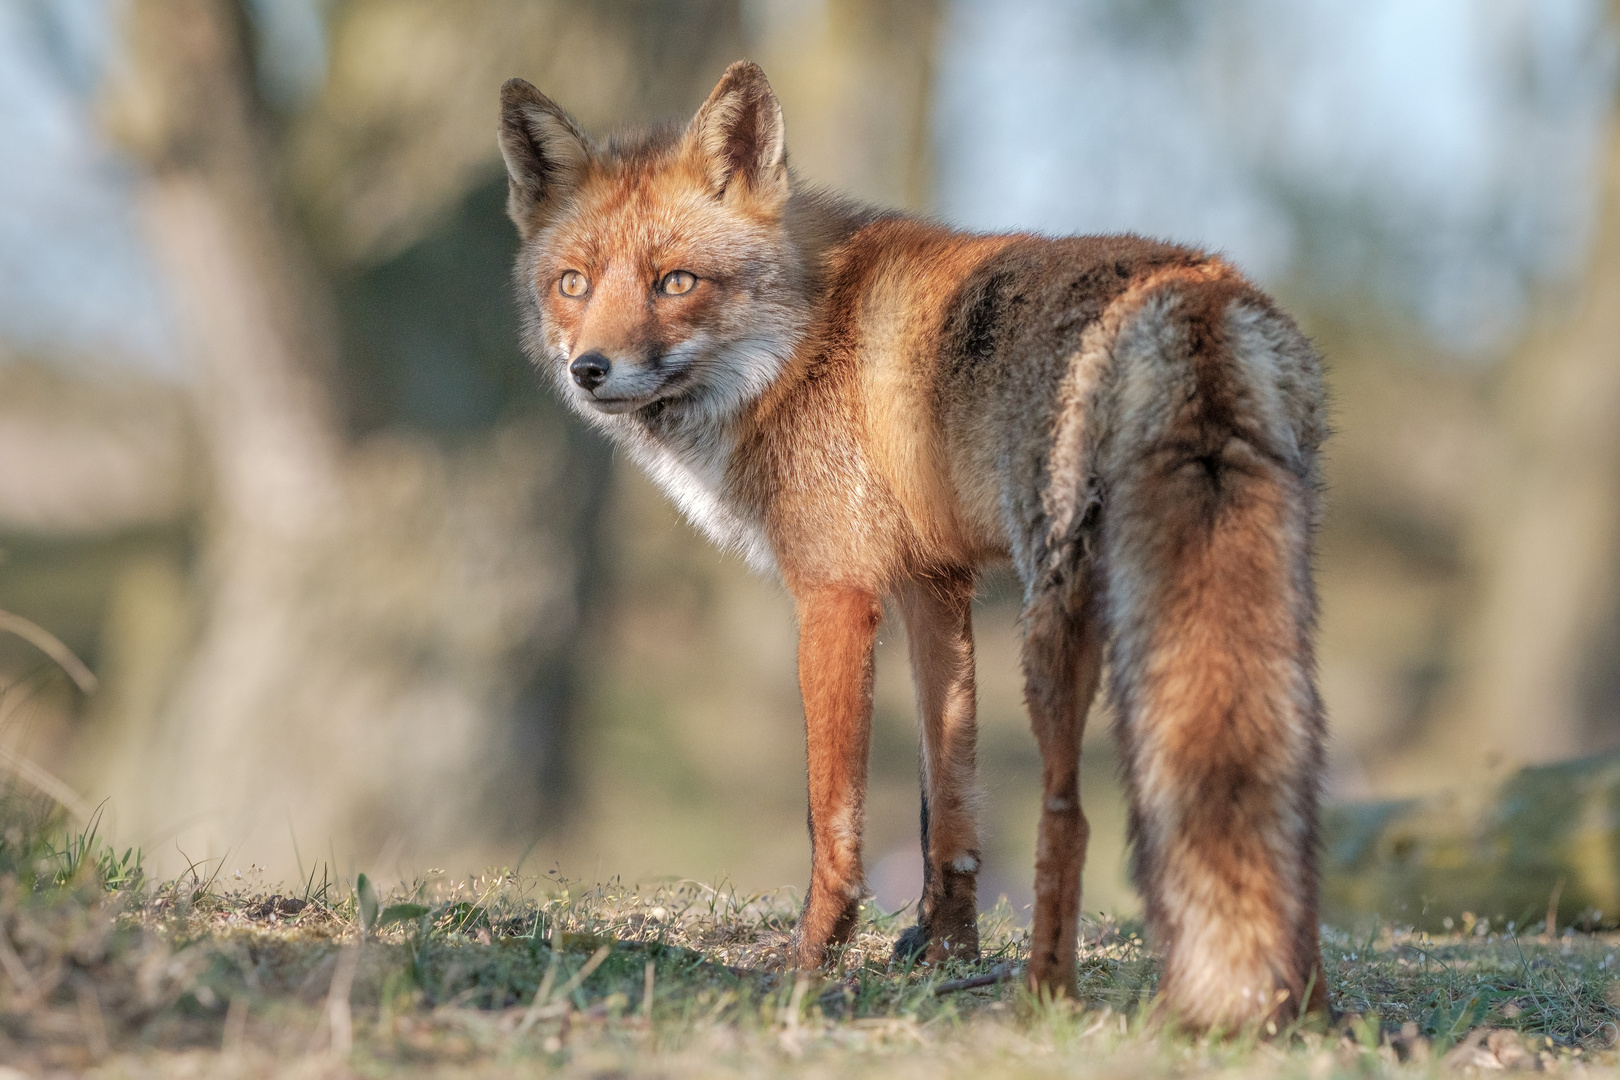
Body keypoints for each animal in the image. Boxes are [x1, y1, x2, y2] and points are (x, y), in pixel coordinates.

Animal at [502, 61, 1328, 1029]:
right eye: (574, 283)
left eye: (675, 282)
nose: (589, 371)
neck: (800, 345)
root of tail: (1195, 297)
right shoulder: (934, 586)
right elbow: (950, 802)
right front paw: (944, 953)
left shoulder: (837, 593)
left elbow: (832, 814)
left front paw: (812, 958)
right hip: (1268, 610)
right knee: (1288, 798)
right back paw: (1299, 1004)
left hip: (1060, 629)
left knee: (1068, 814)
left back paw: (1044, 998)